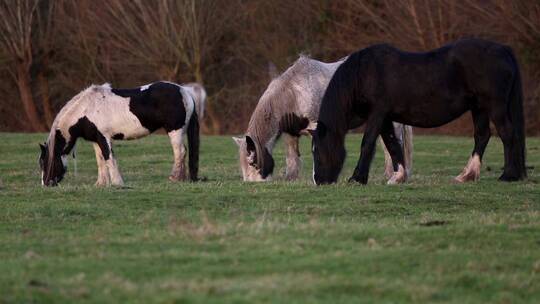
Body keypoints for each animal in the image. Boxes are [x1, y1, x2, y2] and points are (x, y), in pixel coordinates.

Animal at [39, 81, 205, 185]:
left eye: (45, 161)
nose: (46, 184)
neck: (87, 110)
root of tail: (185, 92)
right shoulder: (96, 140)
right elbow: (100, 160)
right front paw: (100, 184)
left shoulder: (104, 137)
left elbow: (109, 158)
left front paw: (117, 183)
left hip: (175, 131)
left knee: (180, 152)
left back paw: (174, 178)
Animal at [233, 55, 414, 183]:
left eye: (253, 163)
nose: (253, 183)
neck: (295, 93)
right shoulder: (291, 133)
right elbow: (292, 157)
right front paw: (290, 179)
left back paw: (393, 176)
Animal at [312, 38, 528, 185]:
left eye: (318, 150)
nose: (320, 181)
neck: (364, 74)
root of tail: (503, 49)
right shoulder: (385, 118)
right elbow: (392, 144)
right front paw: (398, 177)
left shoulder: (377, 114)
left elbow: (367, 143)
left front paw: (357, 178)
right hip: (479, 108)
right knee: (482, 136)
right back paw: (467, 175)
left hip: (495, 106)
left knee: (508, 134)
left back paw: (508, 175)